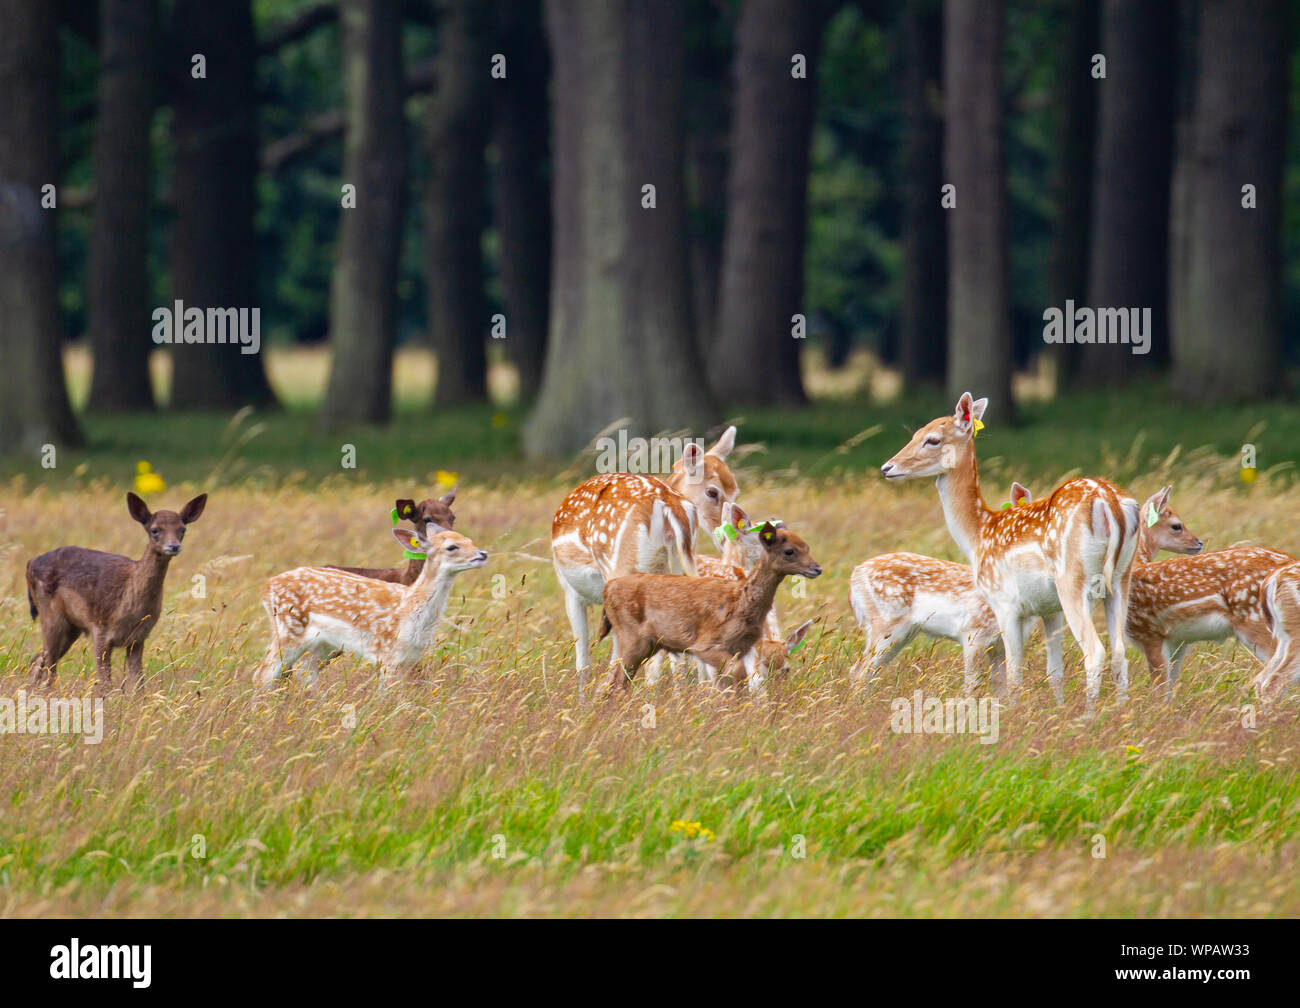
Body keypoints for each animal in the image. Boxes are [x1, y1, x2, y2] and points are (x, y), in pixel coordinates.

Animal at [27, 491, 208, 691]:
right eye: (154, 530)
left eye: (182, 529)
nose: (174, 546)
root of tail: (30, 563)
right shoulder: (100, 629)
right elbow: (105, 684)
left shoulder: (138, 637)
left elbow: (137, 683)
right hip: (50, 615)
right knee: (49, 664)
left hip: (71, 626)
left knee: (38, 659)